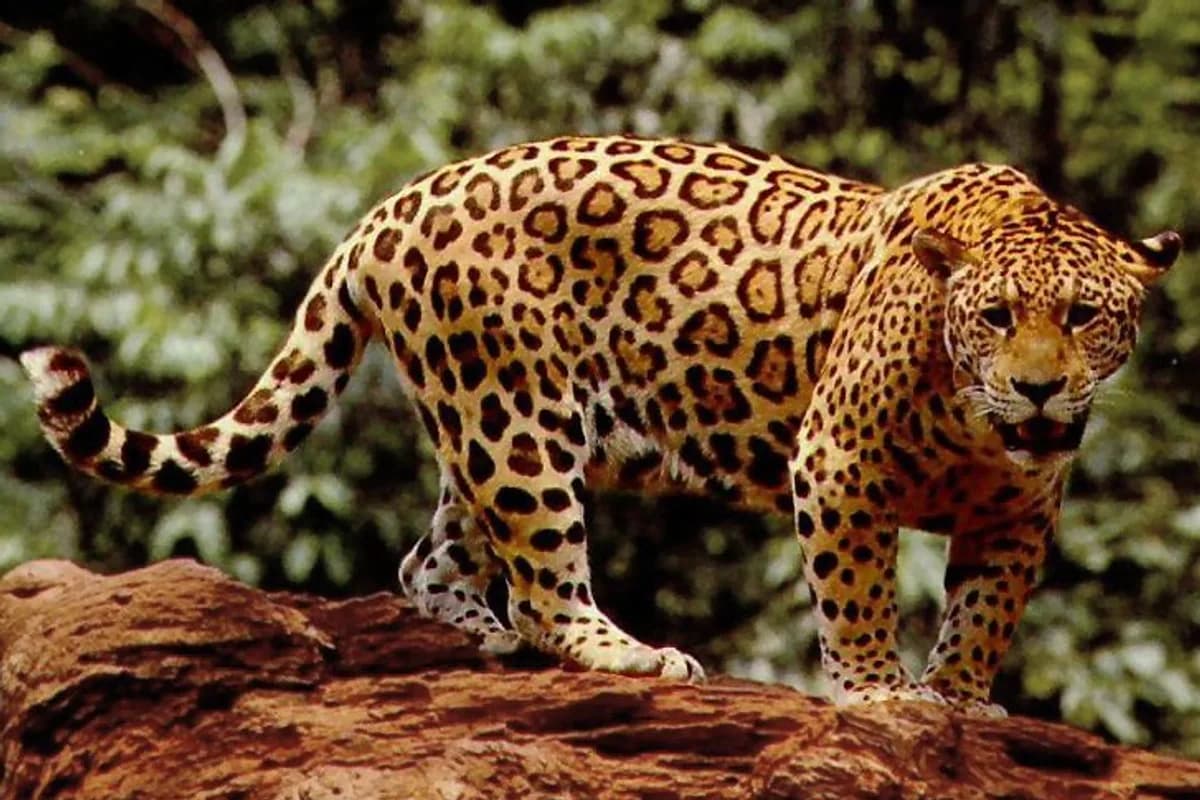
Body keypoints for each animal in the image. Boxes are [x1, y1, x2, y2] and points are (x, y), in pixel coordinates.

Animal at [21, 134, 1182, 716]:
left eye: (1084, 316)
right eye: (996, 317)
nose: (1039, 390)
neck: (975, 419)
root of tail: (390, 206)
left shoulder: (1019, 510)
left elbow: (985, 609)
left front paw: (964, 697)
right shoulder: (837, 461)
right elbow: (856, 591)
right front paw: (880, 695)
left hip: (483, 424)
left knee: (430, 556)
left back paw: (482, 639)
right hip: (519, 422)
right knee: (543, 581)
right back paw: (628, 655)